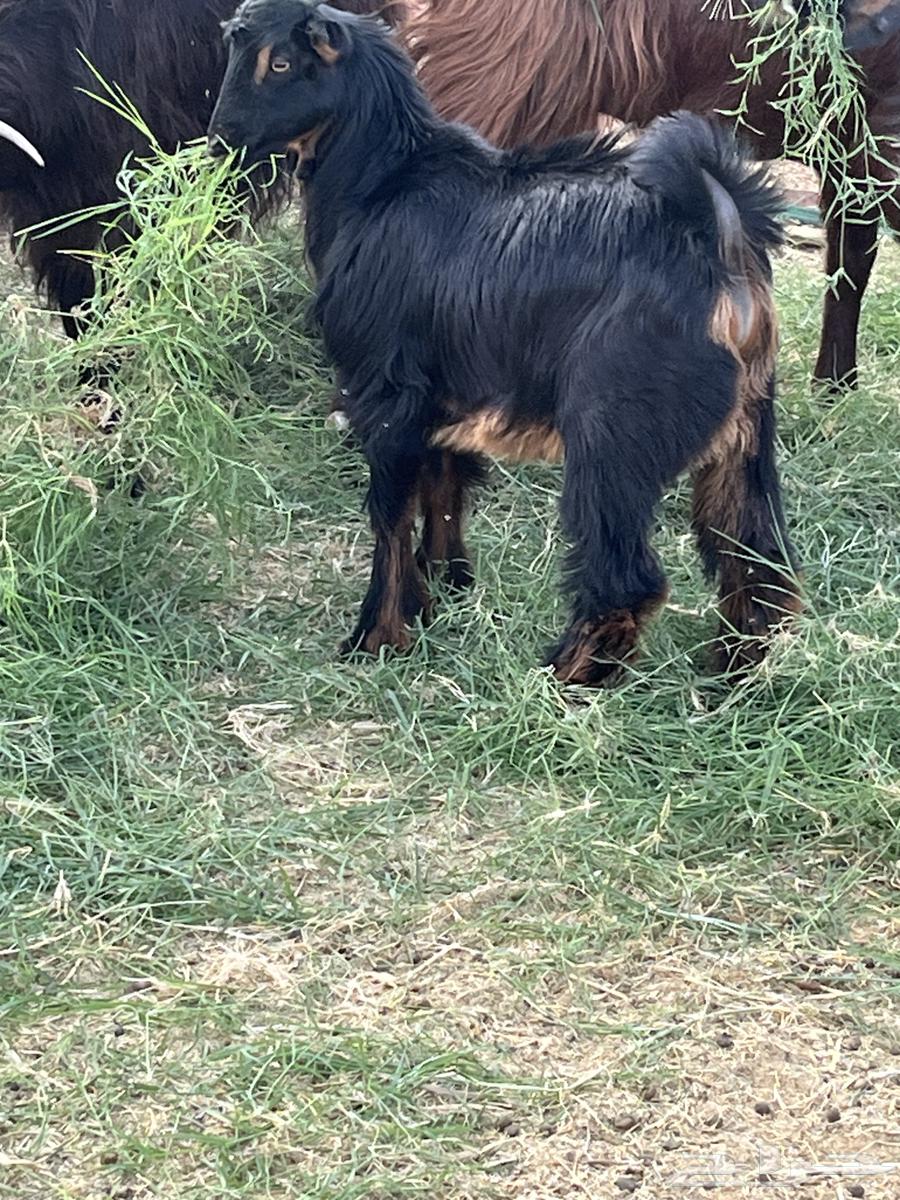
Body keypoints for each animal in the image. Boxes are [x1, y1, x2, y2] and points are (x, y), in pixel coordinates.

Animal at [209, 0, 801, 686]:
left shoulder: (387, 394)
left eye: (280, 63)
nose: (220, 138)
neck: (383, 184)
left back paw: (565, 678)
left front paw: (376, 637)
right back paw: (735, 673)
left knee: (629, 578)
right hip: (744, 435)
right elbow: (443, 492)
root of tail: (720, 239)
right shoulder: (443, 398)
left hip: (613, 433)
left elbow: (390, 514)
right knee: (757, 562)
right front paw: (443, 592)